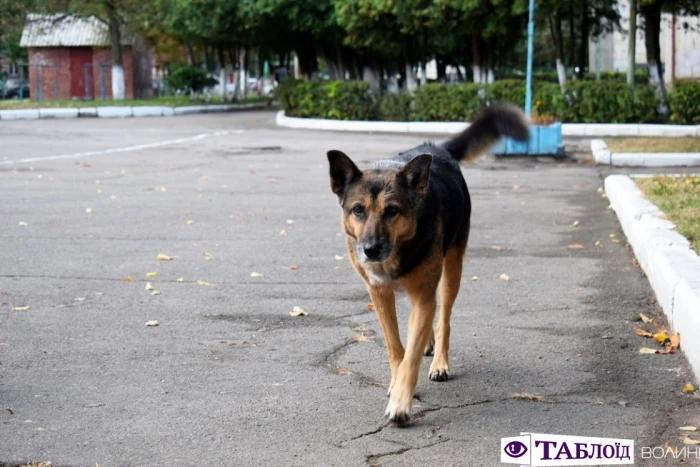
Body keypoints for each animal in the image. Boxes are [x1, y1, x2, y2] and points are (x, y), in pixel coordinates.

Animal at [326, 106, 528, 428]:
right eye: (358, 210)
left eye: (392, 211)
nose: (371, 250)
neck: (401, 246)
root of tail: (436, 150)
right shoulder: (379, 293)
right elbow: (396, 347)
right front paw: (396, 382)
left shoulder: (422, 294)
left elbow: (410, 357)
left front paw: (401, 403)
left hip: (452, 272)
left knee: (443, 317)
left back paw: (439, 361)